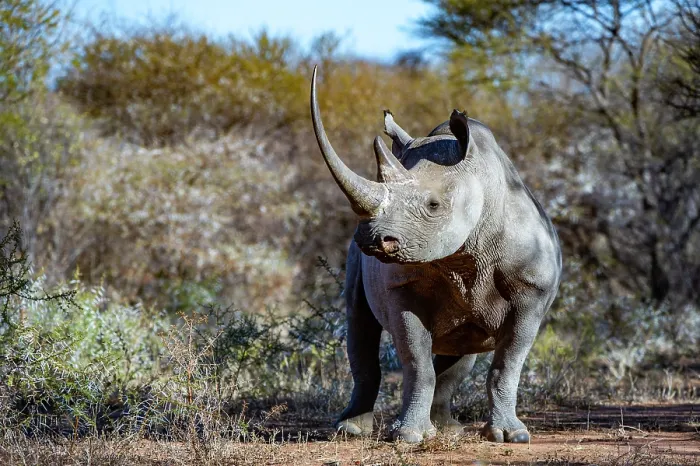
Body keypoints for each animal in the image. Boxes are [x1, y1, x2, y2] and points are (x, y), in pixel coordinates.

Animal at [310, 67, 562, 444]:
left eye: (433, 205)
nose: (370, 240)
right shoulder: (401, 286)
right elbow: (417, 363)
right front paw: (408, 437)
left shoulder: (532, 291)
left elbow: (507, 364)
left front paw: (510, 436)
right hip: (354, 262)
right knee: (360, 323)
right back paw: (352, 429)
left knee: (462, 348)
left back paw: (448, 428)